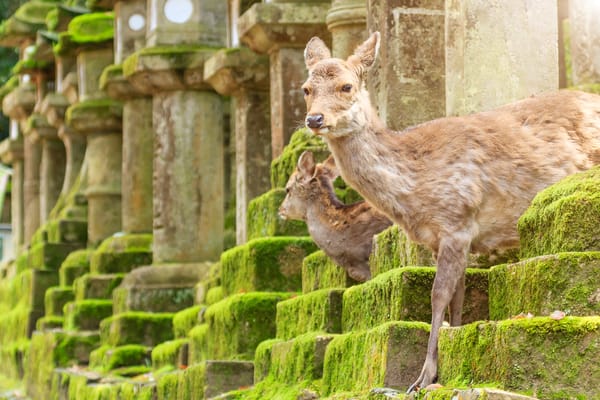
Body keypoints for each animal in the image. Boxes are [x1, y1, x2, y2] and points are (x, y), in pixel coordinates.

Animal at [302, 30, 600, 390]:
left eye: (346, 86)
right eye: (306, 89)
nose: (314, 119)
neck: (413, 188)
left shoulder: (456, 219)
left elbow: (439, 294)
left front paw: (423, 376)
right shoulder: (446, 237)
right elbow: (459, 294)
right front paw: (451, 351)